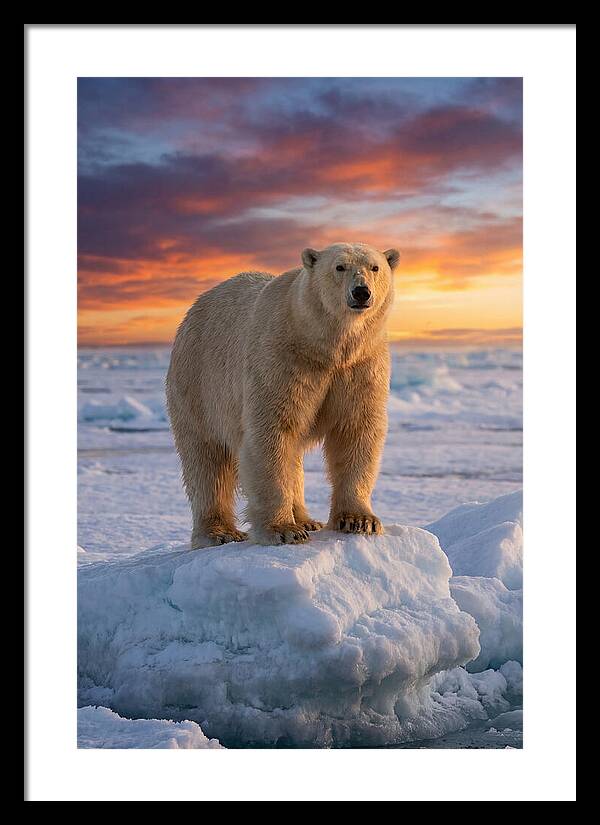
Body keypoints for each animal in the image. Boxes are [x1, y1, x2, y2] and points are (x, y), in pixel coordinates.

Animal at [166, 242, 400, 548]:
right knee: (207, 460)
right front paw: (284, 530)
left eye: (374, 267)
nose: (361, 292)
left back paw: (307, 519)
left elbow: (356, 430)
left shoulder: (361, 366)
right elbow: (271, 432)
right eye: (339, 267)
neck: (324, 346)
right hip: (198, 383)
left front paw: (360, 520)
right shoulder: (281, 358)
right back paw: (219, 532)